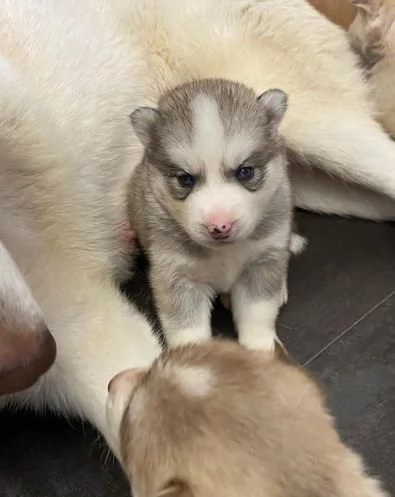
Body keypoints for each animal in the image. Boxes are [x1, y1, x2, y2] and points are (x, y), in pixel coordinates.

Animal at [127, 78, 296, 348]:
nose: (220, 226)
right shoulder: (177, 278)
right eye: (185, 179)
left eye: (245, 171)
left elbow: (257, 314)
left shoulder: (260, 264)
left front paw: (260, 347)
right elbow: (188, 329)